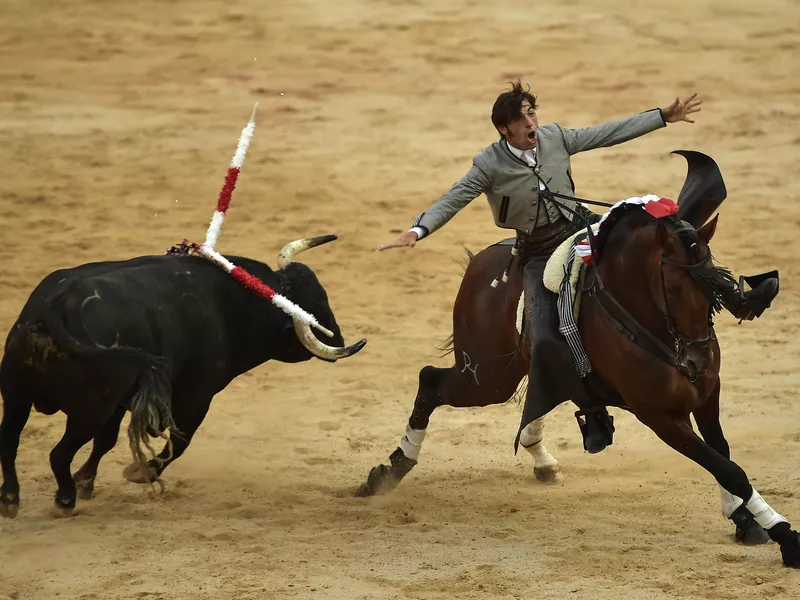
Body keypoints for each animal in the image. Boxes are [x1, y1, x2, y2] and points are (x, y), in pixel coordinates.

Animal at [1, 234, 364, 516]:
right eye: (318, 307)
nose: (339, 338)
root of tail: (54, 309)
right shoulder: (196, 396)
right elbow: (180, 440)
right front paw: (140, 472)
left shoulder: (120, 400)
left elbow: (107, 441)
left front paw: (86, 481)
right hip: (88, 409)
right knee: (58, 452)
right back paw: (63, 500)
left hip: (19, 396)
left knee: (11, 438)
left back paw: (11, 498)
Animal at [358, 152, 800, 568]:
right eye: (673, 287)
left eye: (715, 282)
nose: (697, 360)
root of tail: (479, 264)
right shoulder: (658, 415)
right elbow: (726, 466)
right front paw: (784, 536)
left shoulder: (708, 395)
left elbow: (722, 453)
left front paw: (745, 520)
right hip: (485, 377)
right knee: (431, 380)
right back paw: (388, 472)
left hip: (507, 371)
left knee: (530, 394)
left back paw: (542, 458)